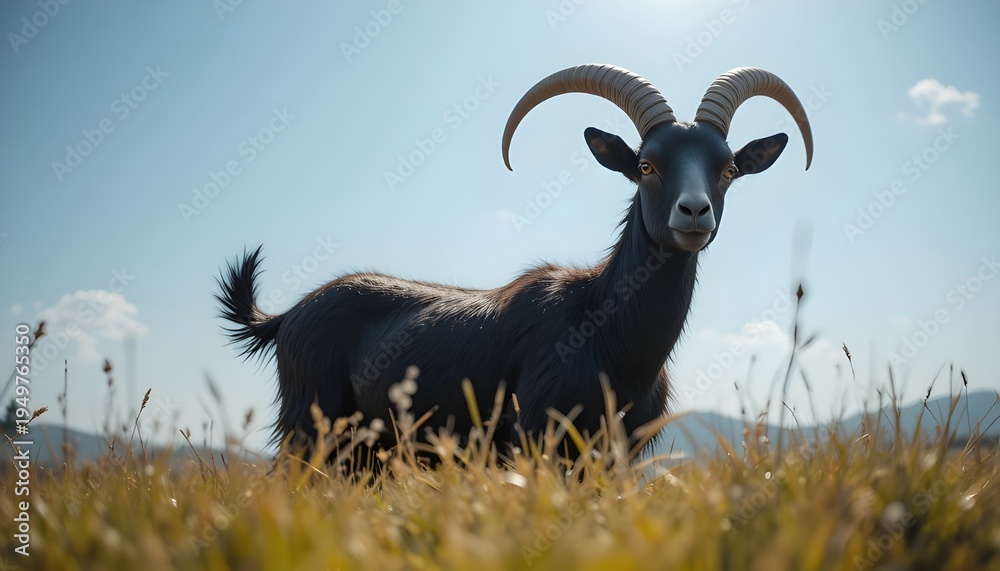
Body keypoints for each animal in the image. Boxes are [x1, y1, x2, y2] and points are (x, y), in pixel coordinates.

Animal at [217, 64, 813, 462]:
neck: (605, 329)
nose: (694, 212)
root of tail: (287, 317)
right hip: (310, 427)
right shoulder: (533, 437)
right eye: (646, 165)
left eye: (729, 169)